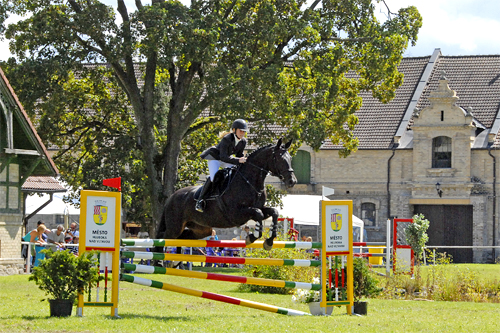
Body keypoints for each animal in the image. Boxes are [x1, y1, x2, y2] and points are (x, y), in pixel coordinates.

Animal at [155, 138, 296, 252]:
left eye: (290, 159)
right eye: (280, 159)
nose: (292, 181)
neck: (250, 181)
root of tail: (171, 197)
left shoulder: (258, 208)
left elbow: (273, 212)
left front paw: (269, 241)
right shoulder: (236, 214)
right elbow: (258, 214)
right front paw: (252, 237)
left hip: (201, 228)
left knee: (182, 237)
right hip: (175, 226)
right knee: (162, 238)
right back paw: (159, 262)